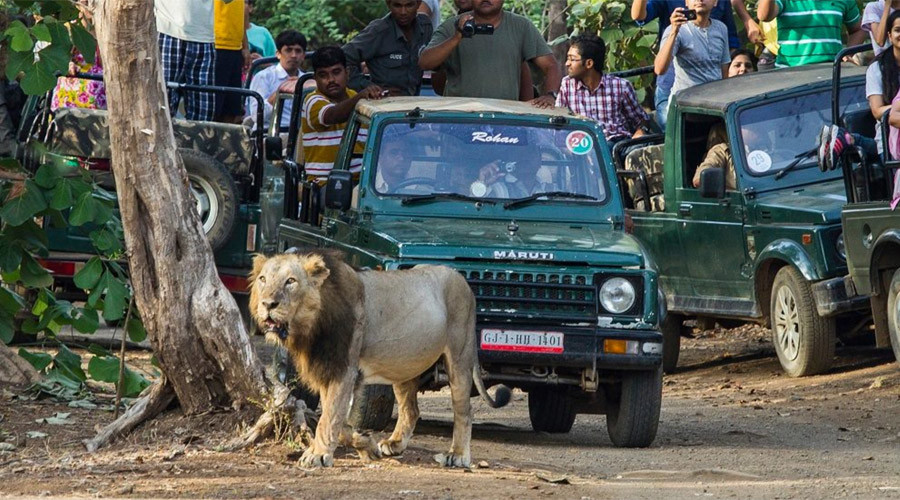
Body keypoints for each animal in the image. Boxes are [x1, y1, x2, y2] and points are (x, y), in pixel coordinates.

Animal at [250, 250, 510, 468]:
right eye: (263, 279)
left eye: (290, 281)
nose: (268, 304)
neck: (310, 328)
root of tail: (463, 280)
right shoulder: (328, 369)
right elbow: (338, 423)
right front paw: (367, 445)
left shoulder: (344, 368)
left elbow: (329, 418)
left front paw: (317, 455)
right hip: (404, 365)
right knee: (411, 410)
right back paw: (395, 444)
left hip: (459, 355)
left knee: (464, 410)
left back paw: (457, 455)